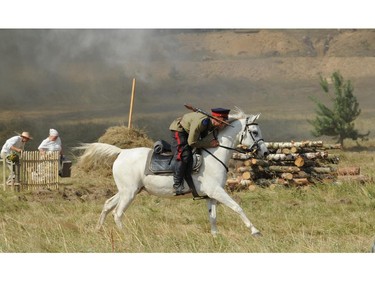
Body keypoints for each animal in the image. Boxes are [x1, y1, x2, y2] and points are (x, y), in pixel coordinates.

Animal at [77, 108, 270, 235]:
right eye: (254, 131)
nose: (265, 152)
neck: (215, 156)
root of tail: (122, 152)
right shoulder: (217, 192)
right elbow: (237, 207)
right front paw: (255, 231)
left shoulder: (212, 195)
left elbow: (213, 217)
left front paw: (216, 237)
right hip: (129, 192)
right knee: (117, 213)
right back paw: (127, 236)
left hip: (129, 190)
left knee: (108, 205)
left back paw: (98, 230)